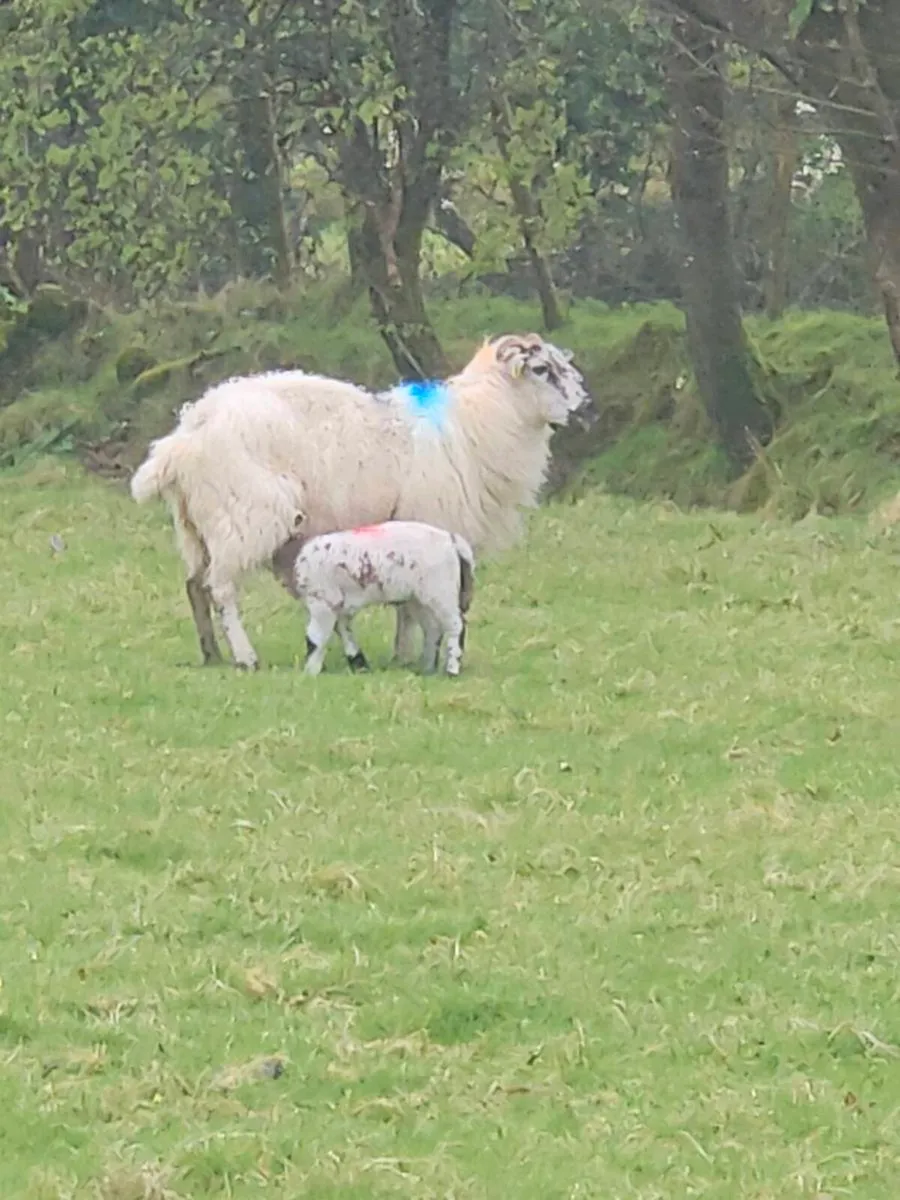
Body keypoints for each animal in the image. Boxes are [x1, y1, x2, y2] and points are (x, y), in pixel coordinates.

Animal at [273, 520, 476, 677]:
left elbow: (315, 638)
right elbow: (344, 630)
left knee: (456, 626)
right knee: (432, 629)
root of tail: (452, 541)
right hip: (419, 598)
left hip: (442, 591)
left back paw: (451, 670)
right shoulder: (338, 603)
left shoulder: (322, 600)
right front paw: (359, 664)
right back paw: (427, 668)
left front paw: (310, 673)